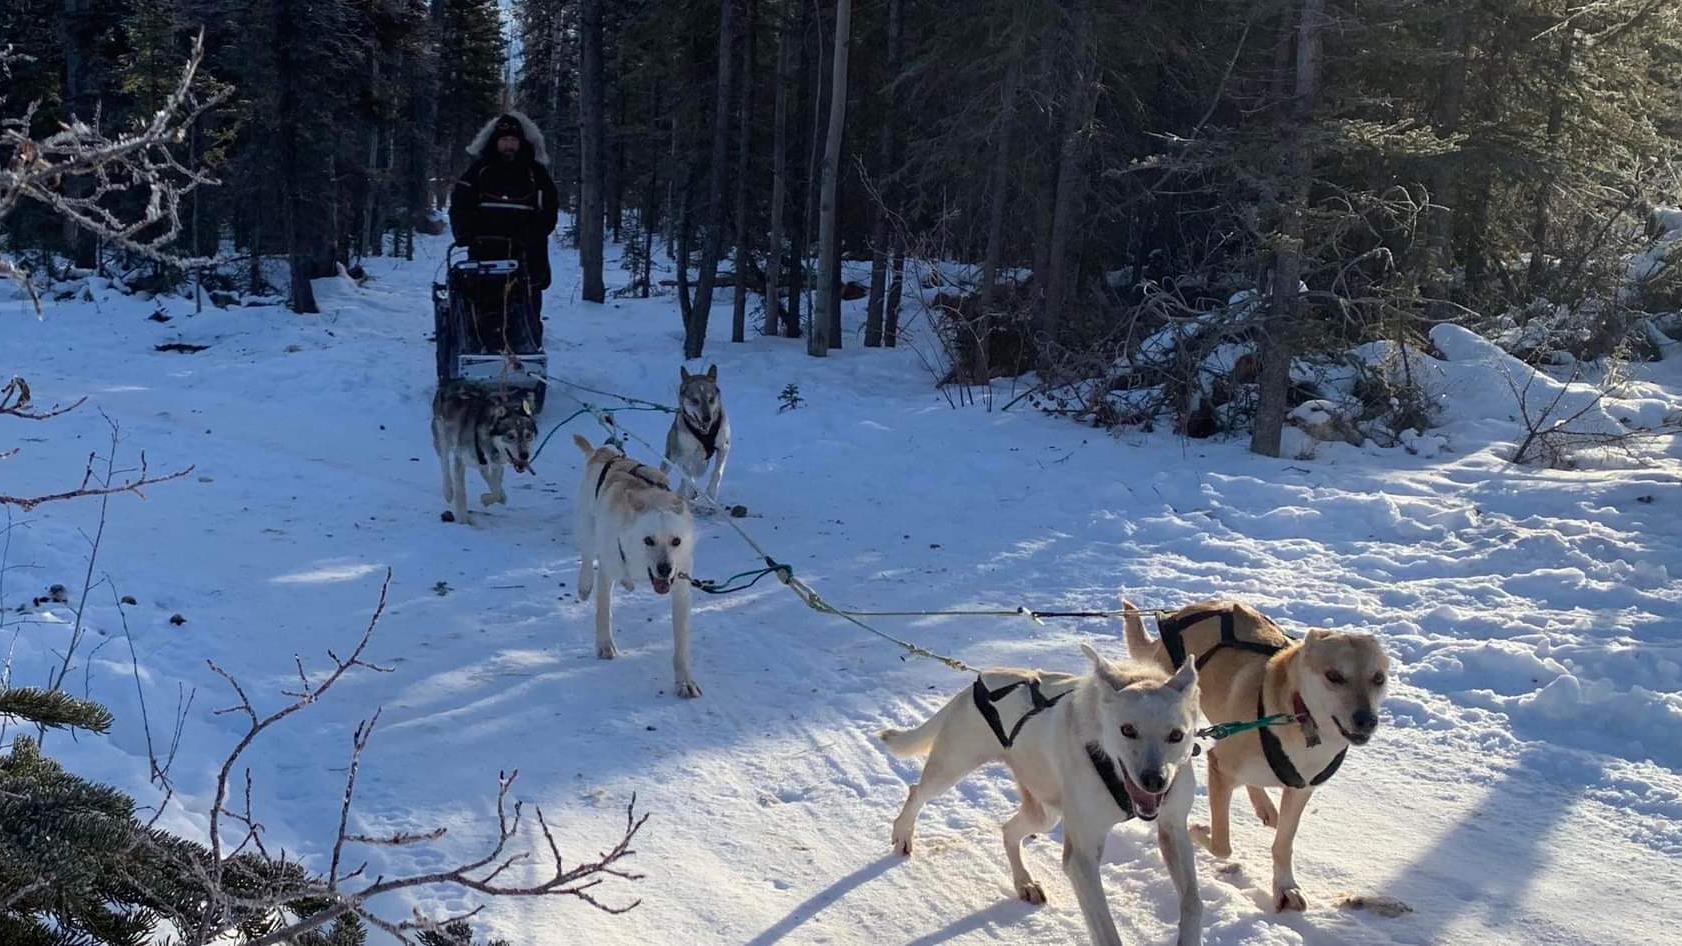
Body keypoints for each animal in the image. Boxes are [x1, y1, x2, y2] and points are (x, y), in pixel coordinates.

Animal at [565, 434, 696, 693]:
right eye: (648, 540)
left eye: (676, 541)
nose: (665, 568)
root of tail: (603, 452)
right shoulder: (607, 570)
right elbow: (603, 612)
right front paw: (605, 645)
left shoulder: (680, 589)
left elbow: (681, 643)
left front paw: (684, 680)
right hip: (587, 525)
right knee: (587, 553)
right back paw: (585, 585)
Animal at [662, 365, 729, 504]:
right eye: (695, 400)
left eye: (711, 399)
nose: (707, 418)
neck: (704, 433)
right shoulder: (685, 452)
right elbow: (688, 474)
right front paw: (692, 489)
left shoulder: (724, 447)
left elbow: (717, 472)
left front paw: (711, 494)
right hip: (671, 454)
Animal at [881, 643, 1211, 942]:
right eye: (1127, 730)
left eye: (1176, 735)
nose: (1155, 781)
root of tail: (978, 682)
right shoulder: (1081, 857)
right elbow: (1106, 931)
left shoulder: (1173, 828)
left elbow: (1193, 903)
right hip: (951, 768)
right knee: (917, 792)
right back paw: (903, 833)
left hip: (1044, 813)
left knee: (1009, 831)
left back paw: (1024, 882)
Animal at [1123, 599, 1385, 908]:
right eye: (1334, 676)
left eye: (1378, 678)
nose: (1367, 720)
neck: (1298, 718)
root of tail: (1186, 611)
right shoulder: (1219, 767)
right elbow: (1222, 845)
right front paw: (1199, 830)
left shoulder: (1301, 789)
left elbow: (1283, 844)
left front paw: (1285, 886)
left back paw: (1265, 806)